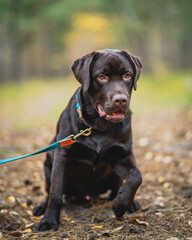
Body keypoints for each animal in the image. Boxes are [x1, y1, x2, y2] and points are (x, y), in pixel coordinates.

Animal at [33, 48, 142, 231]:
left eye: (127, 75)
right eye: (101, 76)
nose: (121, 99)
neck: (98, 126)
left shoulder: (123, 154)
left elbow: (136, 177)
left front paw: (121, 205)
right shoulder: (62, 156)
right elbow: (55, 193)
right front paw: (48, 221)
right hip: (48, 160)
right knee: (49, 190)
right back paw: (41, 207)